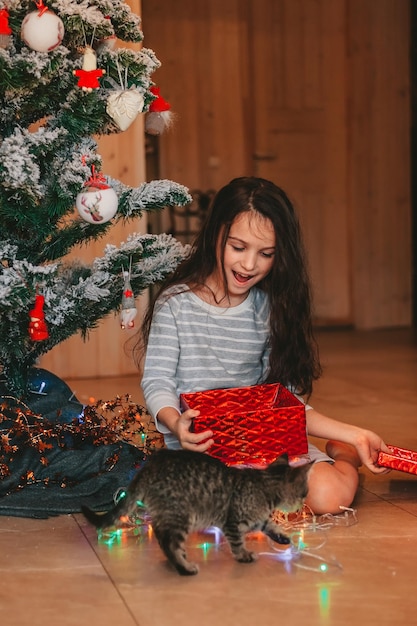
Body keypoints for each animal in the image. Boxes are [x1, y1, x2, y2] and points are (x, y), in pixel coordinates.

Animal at [81, 446, 310, 572]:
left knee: (162, 536)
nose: (303, 502)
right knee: (169, 542)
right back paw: (184, 567)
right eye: (304, 492)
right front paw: (243, 555)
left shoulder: (256, 518)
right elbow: (238, 541)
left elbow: (267, 523)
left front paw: (282, 536)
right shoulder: (233, 521)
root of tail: (150, 465)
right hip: (181, 514)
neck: (263, 484)